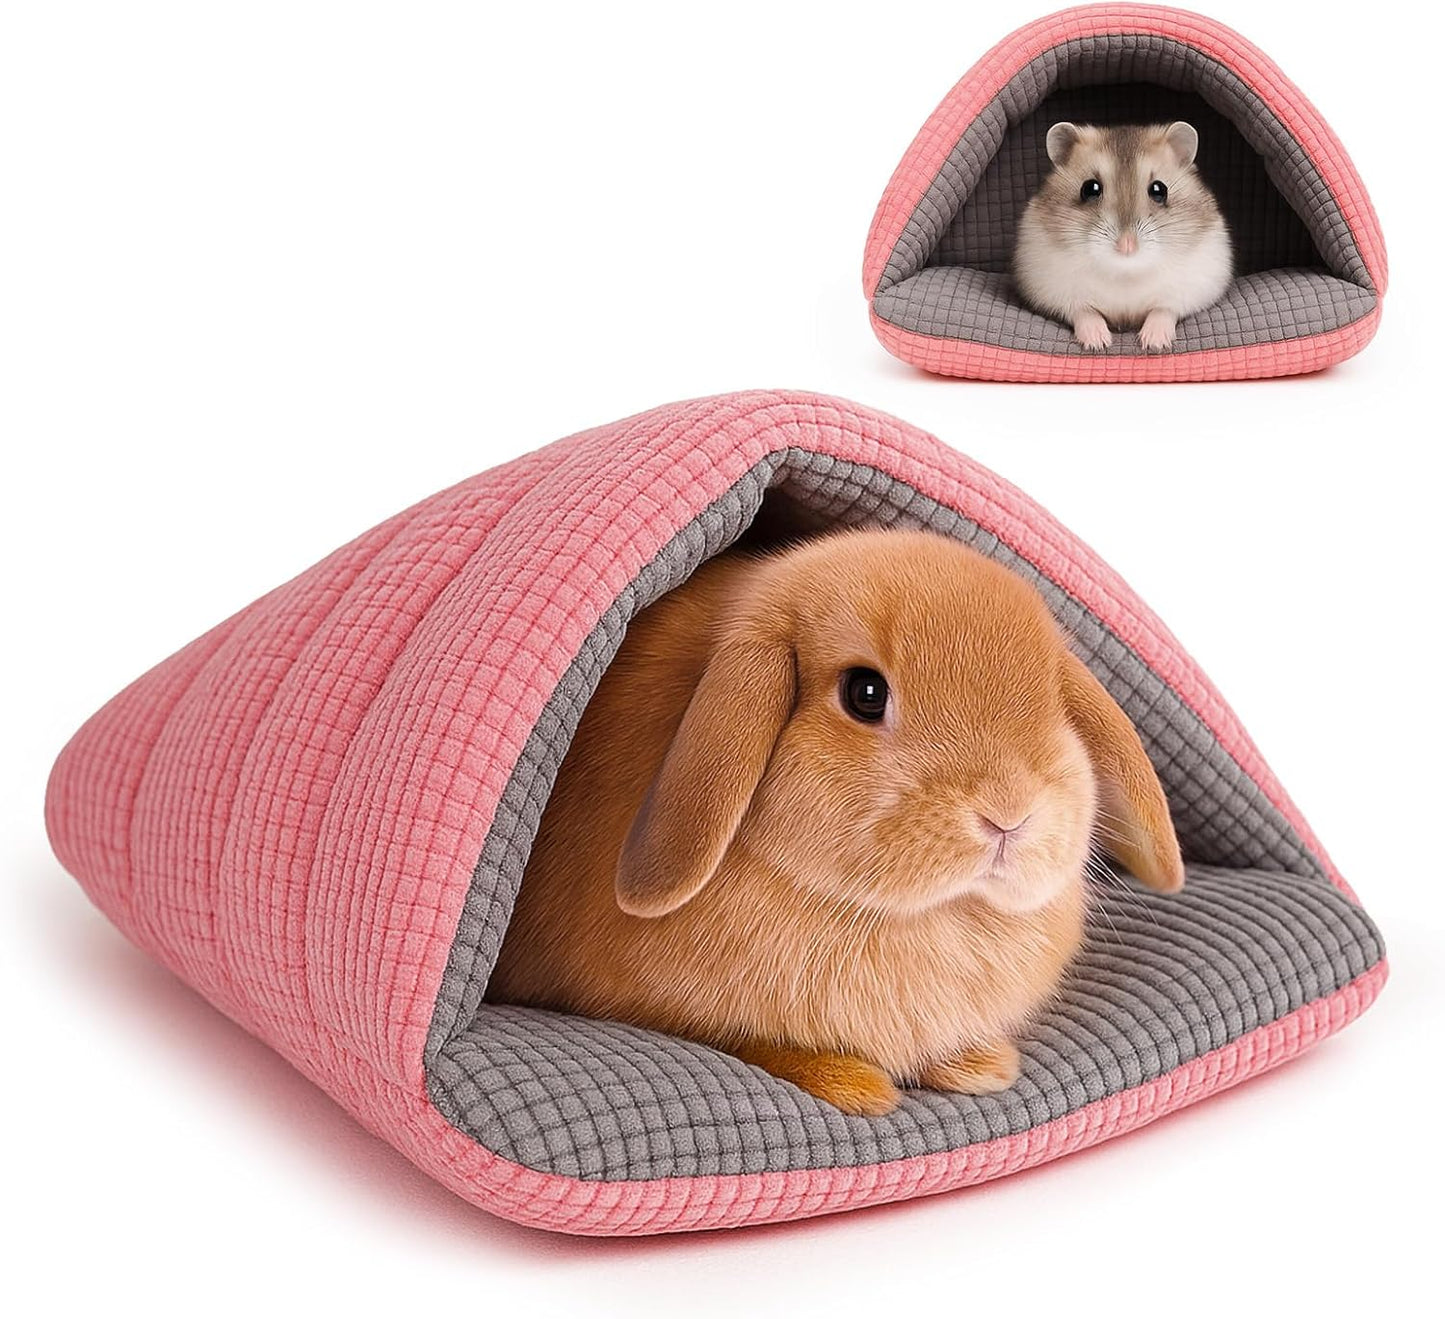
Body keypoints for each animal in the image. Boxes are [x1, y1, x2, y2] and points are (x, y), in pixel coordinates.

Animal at [487, 529, 1185, 1116]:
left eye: (1053, 701)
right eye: (865, 694)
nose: (1008, 812)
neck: (915, 917)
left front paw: (983, 1067)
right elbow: (750, 1042)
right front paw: (858, 1087)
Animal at [1013, 122, 1233, 352]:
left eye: (1159, 189)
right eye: (1089, 189)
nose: (1127, 245)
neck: (1125, 274)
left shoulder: (1190, 290)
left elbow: (1164, 310)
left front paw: (1154, 343)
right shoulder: (1058, 294)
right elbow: (1084, 311)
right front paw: (1098, 343)